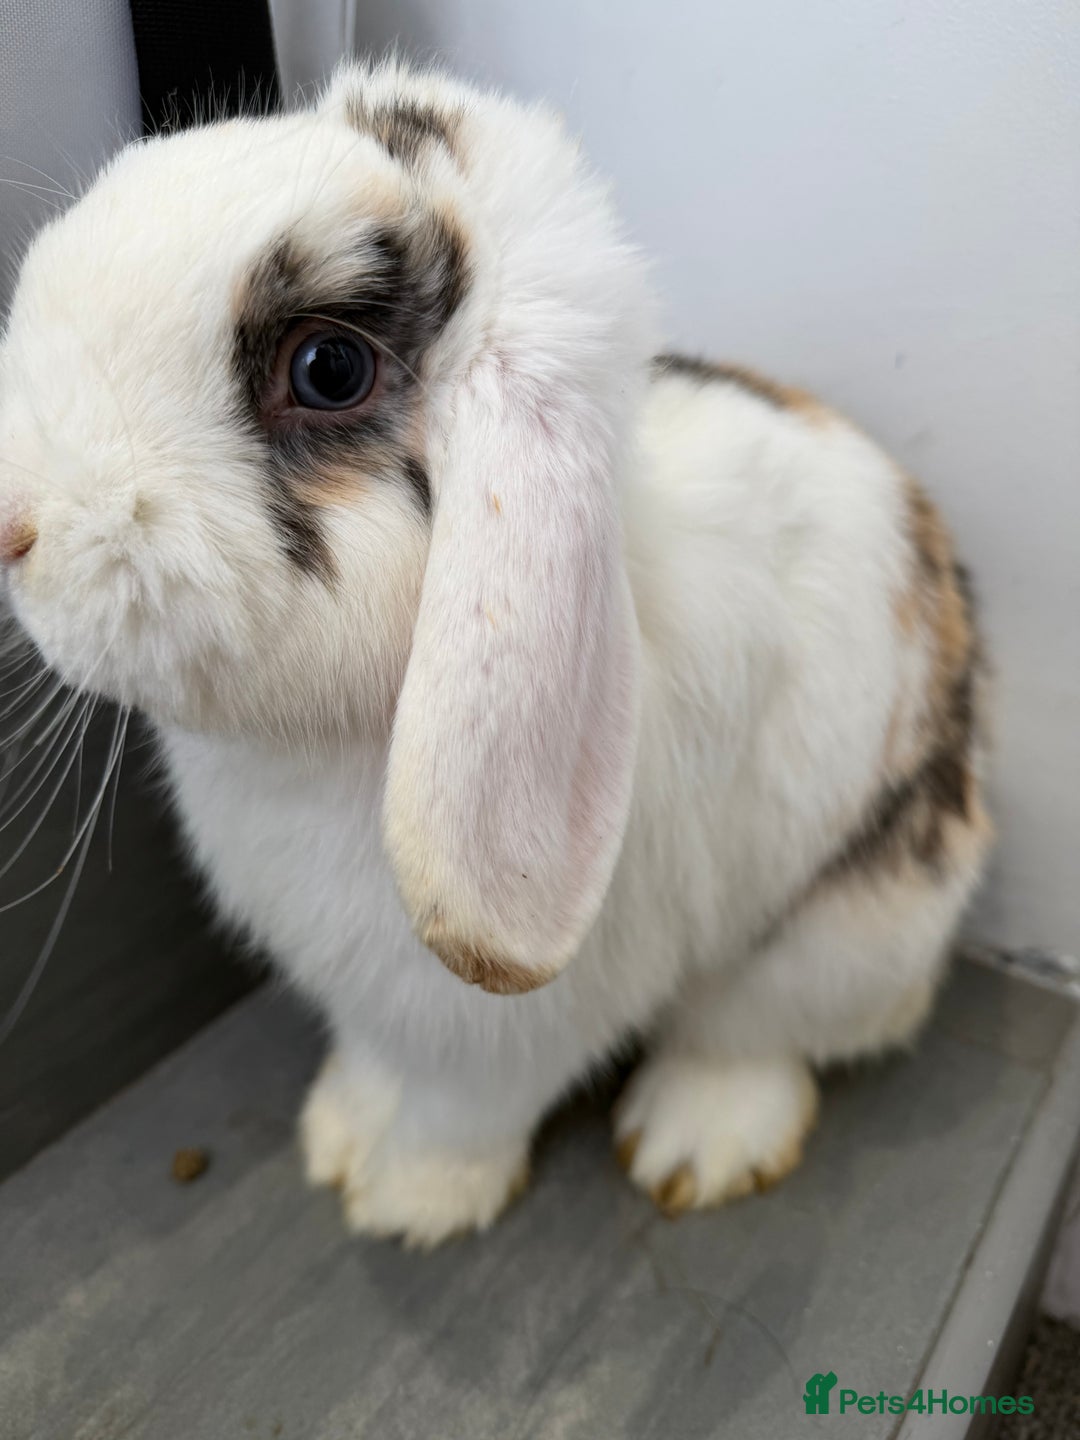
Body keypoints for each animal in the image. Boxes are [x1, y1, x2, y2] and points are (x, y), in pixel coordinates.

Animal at [0, 58, 991, 1247]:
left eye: (327, 367)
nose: (10, 520)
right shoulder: (377, 1007)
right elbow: (378, 1070)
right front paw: (339, 1136)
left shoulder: (501, 1030)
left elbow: (460, 1112)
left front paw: (408, 1202)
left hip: (846, 928)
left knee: (758, 1036)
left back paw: (695, 1147)